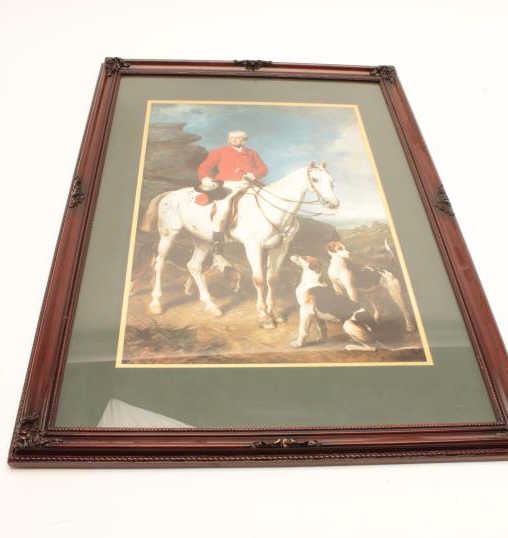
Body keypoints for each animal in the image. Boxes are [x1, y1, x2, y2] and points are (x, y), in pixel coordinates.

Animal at [140, 161, 339, 329]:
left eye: (332, 181)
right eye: (315, 179)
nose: (334, 204)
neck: (273, 210)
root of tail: (170, 194)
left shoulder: (280, 248)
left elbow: (272, 279)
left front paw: (274, 313)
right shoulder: (253, 247)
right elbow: (259, 280)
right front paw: (264, 317)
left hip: (203, 240)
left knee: (194, 266)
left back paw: (211, 306)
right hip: (169, 235)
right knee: (159, 264)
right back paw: (156, 303)